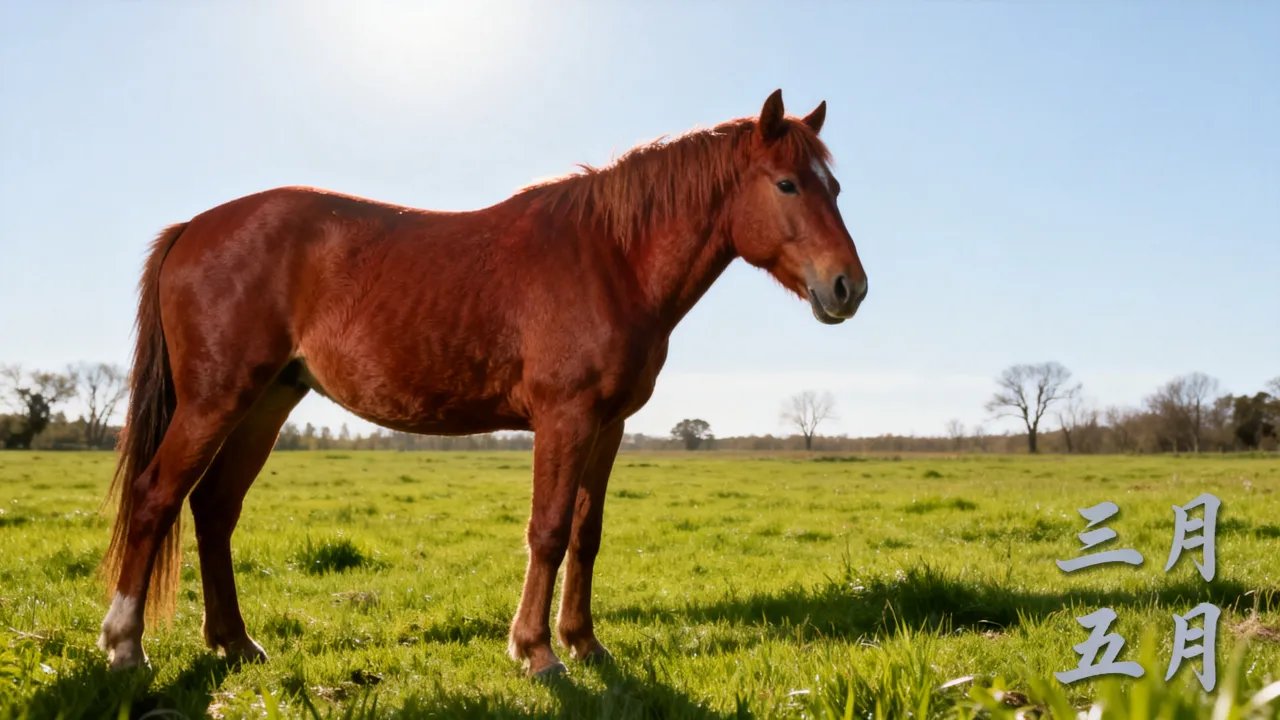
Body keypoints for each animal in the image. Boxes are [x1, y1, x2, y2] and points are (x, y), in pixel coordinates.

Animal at [97, 89, 868, 678]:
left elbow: (587, 533)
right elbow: (548, 531)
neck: (609, 258)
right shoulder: (564, 417)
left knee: (213, 507)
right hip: (216, 399)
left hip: (267, 400)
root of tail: (194, 226)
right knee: (157, 496)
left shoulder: (608, 425)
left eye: (834, 186)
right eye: (787, 184)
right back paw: (126, 645)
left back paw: (234, 641)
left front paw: (584, 642)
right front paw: (536, 652)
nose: (848, 287)